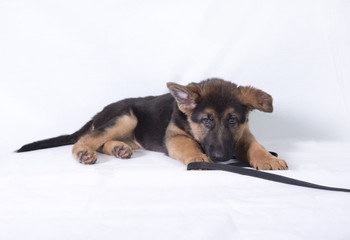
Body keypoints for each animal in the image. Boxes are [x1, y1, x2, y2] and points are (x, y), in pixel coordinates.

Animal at [17, 78, 288, 170]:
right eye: (206, 120)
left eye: (232, 120)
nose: (222, 158)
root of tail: (98, 113)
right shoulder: (176, 138)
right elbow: (190, 147)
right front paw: (199, 158)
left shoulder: (242, 136)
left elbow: (256, 146)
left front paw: (268, 159)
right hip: (126, 116)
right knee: (88, 139)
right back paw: (83, 153)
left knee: (103, 142)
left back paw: (119, 149)